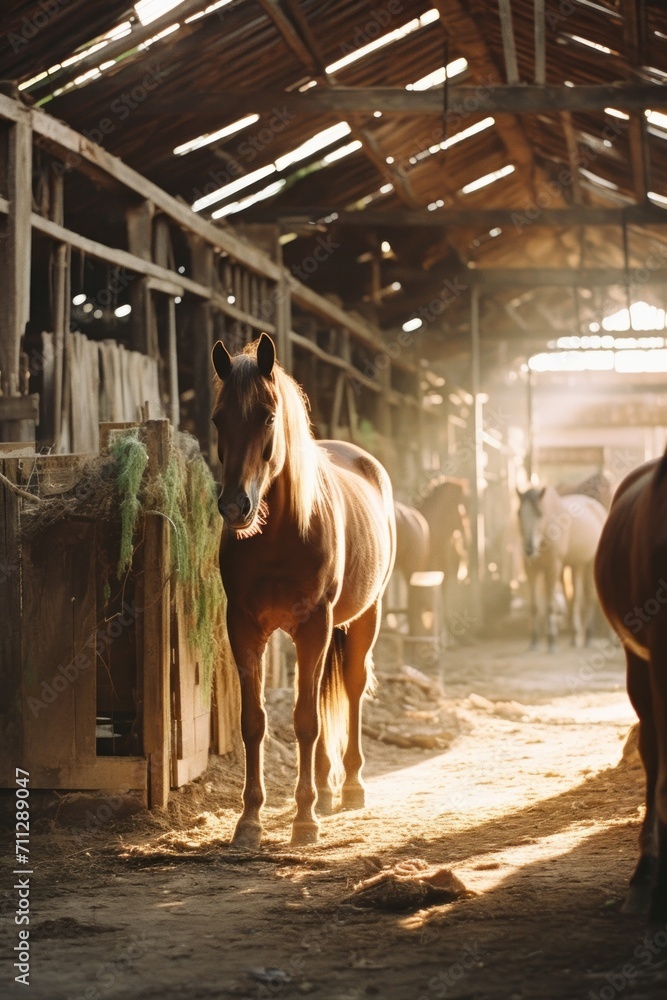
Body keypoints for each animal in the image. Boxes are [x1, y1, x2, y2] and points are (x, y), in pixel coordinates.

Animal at [211, 333, 396, 848]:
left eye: (268, 416)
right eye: (218, 418)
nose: (234, 507)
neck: (280, 534)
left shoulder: (315, 624)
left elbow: (306, 721)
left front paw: (304, 819)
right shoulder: (244, 627)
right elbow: (255, 722)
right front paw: (250, 820)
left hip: (364, 616)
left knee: (352, 686)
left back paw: (349, 786)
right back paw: (328, 789)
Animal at [517, 486, 606, 650]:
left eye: (540, 514)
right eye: (519, 513)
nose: (529, 550)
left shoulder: (552, 567)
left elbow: (550, 606)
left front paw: (552, 641)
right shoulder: (531, 570)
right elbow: (534, 606)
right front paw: (534, 641)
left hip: (589, 564)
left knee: (589, 598)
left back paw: (588, 637)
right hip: (574, 565)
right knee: (574, 599)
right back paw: (575, 636)